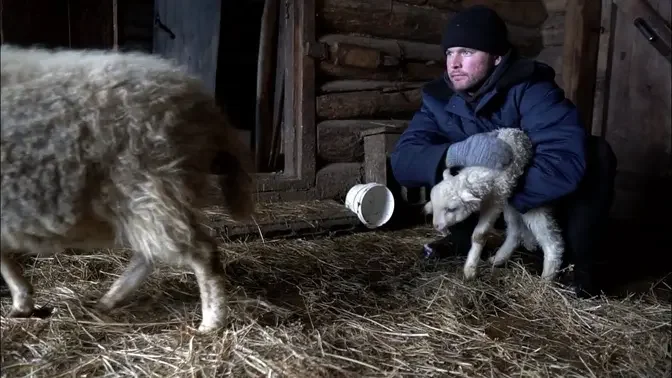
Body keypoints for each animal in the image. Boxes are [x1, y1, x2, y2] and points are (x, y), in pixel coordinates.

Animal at [1, 45, 258, 334]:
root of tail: (203, 102)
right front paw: (22, 299)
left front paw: (21, 299)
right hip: (147, 196)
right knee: (149, 254)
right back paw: (109, 300)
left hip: (149, 184)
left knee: (201, 252)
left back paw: (211, 323)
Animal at [426, 129, 560, 280]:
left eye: (451, 209)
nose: (436, 226)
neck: (483, 170)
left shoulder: (495, 201)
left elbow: (479, 235)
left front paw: (470, 270)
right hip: (510, 203)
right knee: (515, 231)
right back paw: (499, 258)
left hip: (528, 205)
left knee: (550, 239)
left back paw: (547, 276)